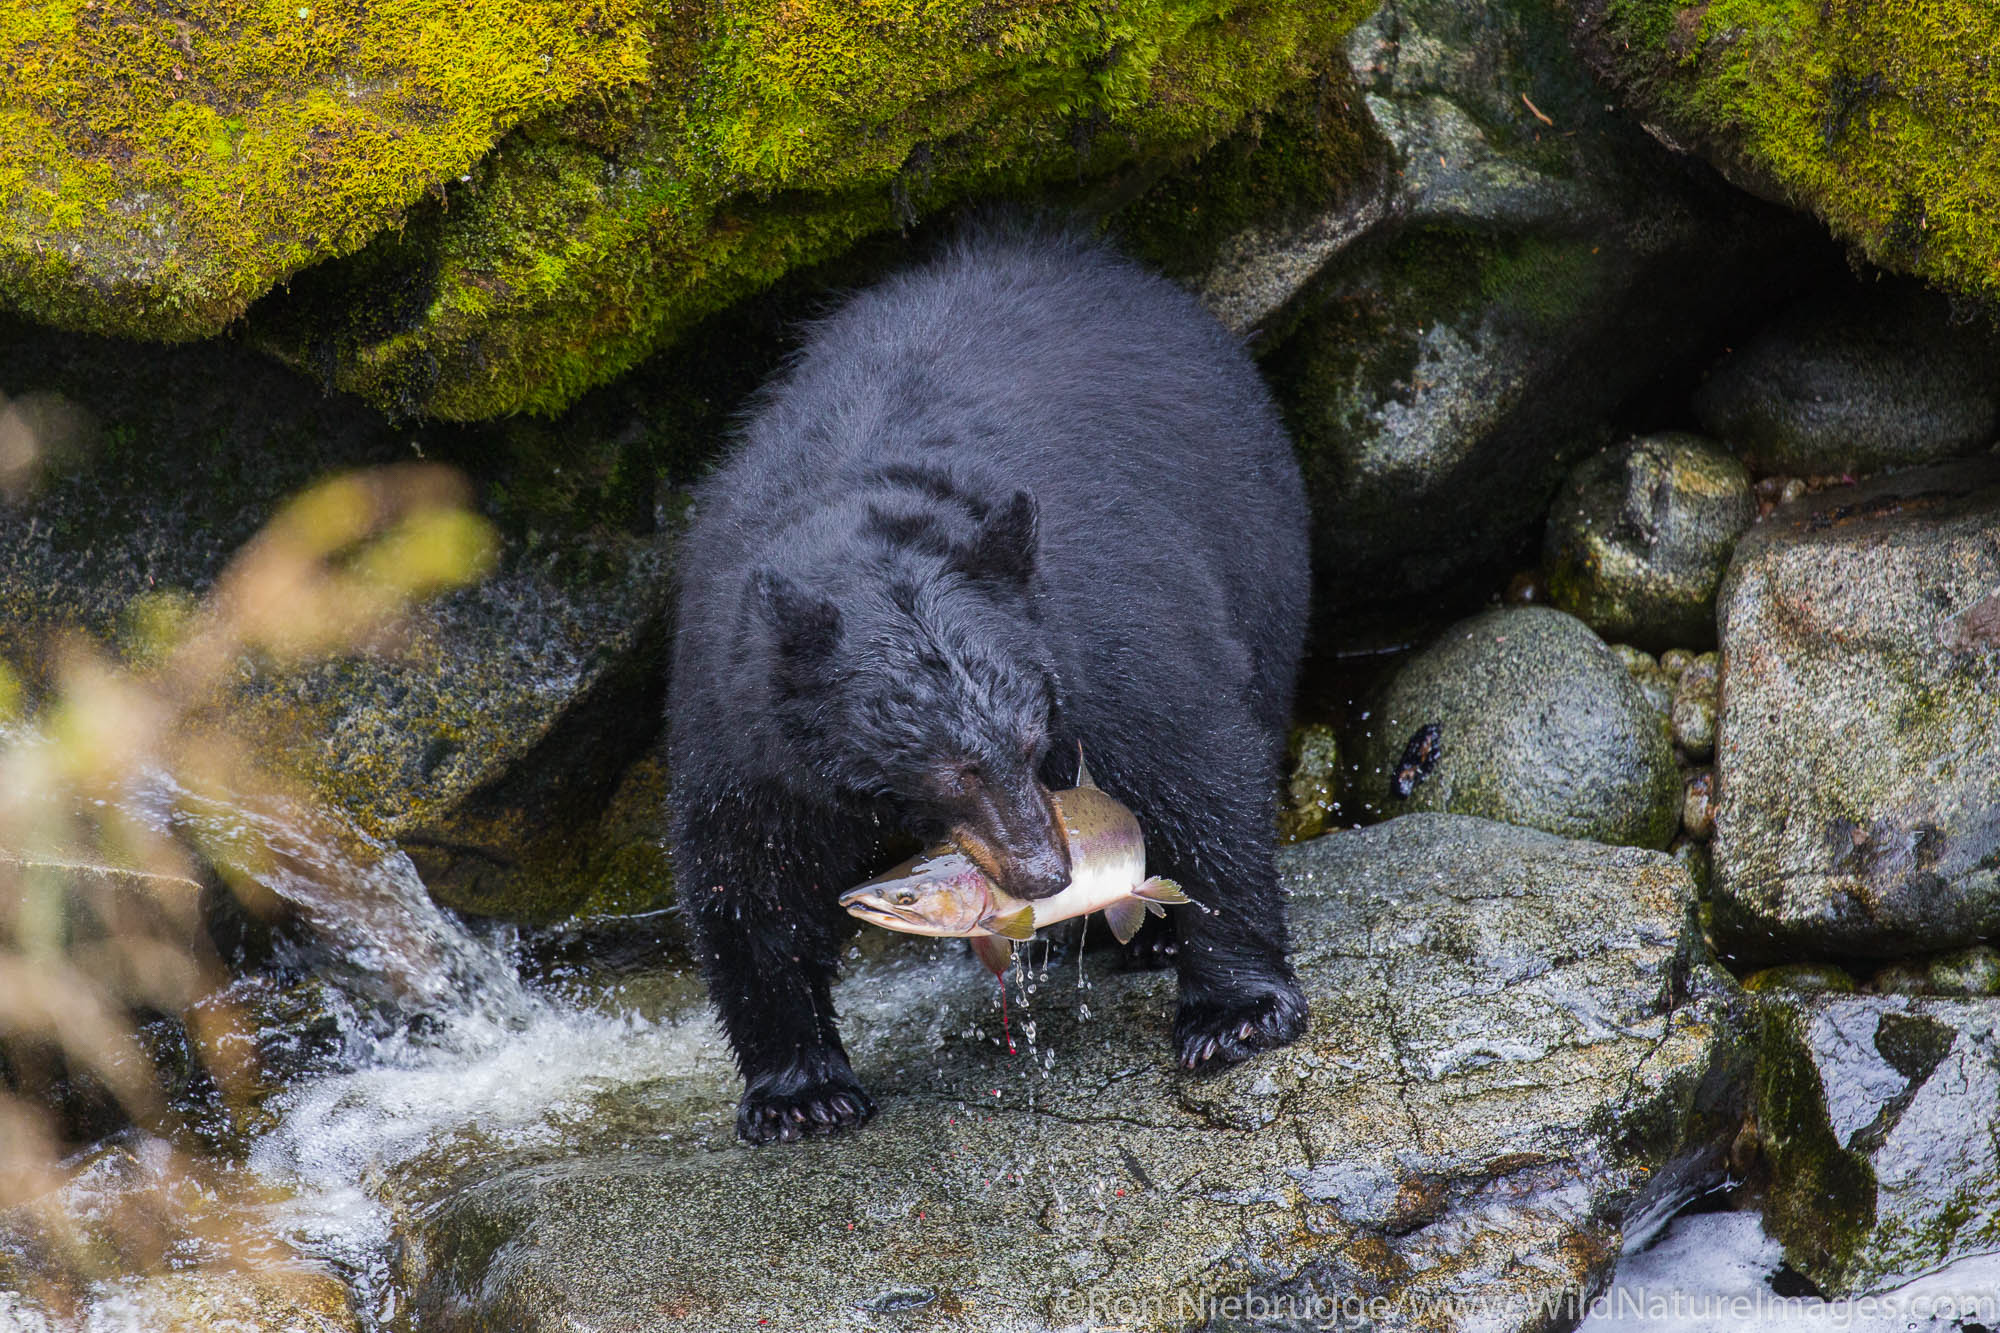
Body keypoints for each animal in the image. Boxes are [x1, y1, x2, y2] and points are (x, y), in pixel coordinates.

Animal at [668, 223, 1312, 1136]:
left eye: (1034, 738)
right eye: (951, 771)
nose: (1047, 874)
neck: (869, 508)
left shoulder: (1088, 624)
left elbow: (1191, 764)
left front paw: (1236, 1012)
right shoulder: (742, 704)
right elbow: (750, 869)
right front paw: (799, 1092)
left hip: (1260, 538)